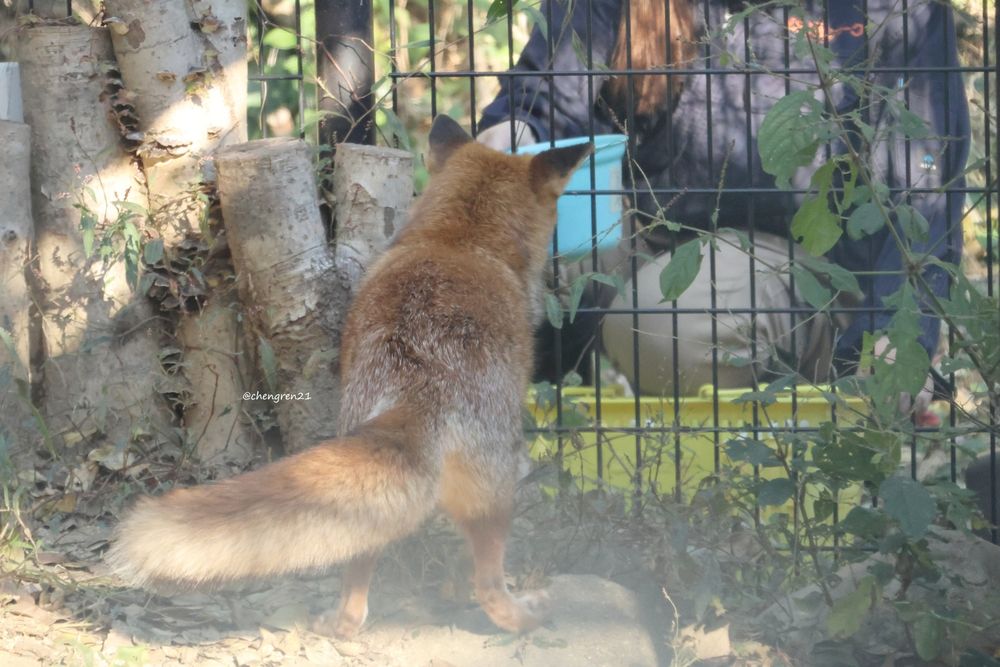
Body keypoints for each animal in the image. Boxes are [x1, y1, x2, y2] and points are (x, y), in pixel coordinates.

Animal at [107, 114, 593, 639]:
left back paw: (343, 623)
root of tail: (418, 386)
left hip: (368, 500)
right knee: (488, 585)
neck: (459, 240)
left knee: (356, 591)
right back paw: (523, 617)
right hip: (499, 492)